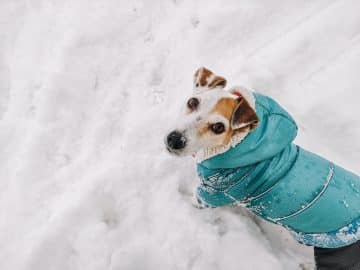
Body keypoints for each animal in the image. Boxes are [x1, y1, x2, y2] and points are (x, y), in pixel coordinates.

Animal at [166, 67, 360, 270]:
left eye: (219, 127)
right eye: (192, 102)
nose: (175, 140)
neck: (236, 143)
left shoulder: (213, 192)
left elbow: (197, 199)